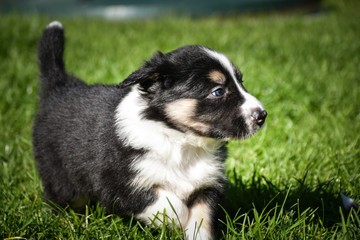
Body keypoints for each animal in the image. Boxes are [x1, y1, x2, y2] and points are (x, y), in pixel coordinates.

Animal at [32, 21, 266, 239]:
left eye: (241, 82)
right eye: (218, 91)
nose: (262, 115)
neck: (181, 141)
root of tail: (60, 86)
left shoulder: (206, 185)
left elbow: (201, 223)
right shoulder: (120, 185)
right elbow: (169, 206)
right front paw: (177, 223)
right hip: (59, 175)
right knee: (58, 199)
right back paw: (62, 221)